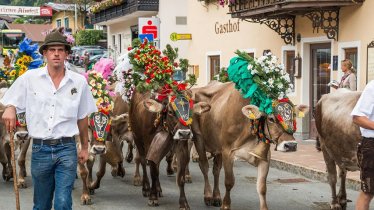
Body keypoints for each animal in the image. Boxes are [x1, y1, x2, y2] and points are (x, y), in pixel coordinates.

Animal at [190, 81, 306, 209]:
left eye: (294, 115)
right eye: (271, 118)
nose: (291, 145)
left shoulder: (265, 156)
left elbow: (262, 187)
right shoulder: (227, 152)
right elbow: (229, 182)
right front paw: (226, 205)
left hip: (217, 146)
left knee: (216, 170)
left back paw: (216, 197)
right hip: (199, 138)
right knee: (204, 166)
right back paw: (208, 196)